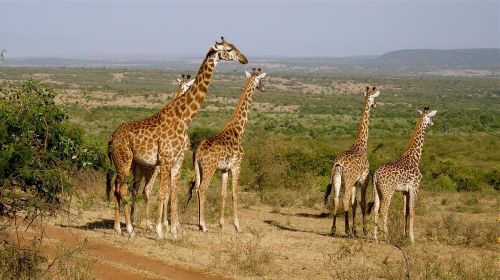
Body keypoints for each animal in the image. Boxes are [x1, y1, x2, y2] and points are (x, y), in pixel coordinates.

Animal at [106, 36, 247, 238]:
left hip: (126, 162)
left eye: (235, 46)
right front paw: (160, 231)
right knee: (123, 189)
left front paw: (173, 231)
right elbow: (163, 194)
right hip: (124, 160)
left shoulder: (178, 161)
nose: (244, 59)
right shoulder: (165, 159)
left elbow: (173, 194)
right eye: (228, 49)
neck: (184, 119)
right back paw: (130, 229)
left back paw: (118, 227)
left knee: (119, 188)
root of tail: (110, 139)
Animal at [187, 67, 266, 232]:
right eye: (262, 80)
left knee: (196, 188)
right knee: (202, 189)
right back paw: (203, 225)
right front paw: (237, 226)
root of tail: (197, 152)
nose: (264, 88)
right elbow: (235, 193)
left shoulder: (224, 169)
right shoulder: (237, 165)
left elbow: (223, 194)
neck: (238, 130)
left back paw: (199, 224)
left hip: (197, 168)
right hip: (209, 168)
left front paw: (222, 224)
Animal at [322, 86, 380, 236]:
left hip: (337, 179)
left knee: (336, 199)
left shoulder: (355, 183)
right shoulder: (364, 180)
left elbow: (354, 203)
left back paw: (334, 229)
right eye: (373, 98)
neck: (361, 145)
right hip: (347, 181)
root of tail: (338, 164)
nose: (375, 105)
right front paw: (363, 230)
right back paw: (346, 230)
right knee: (344, 199)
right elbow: (362, 202)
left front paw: (355, 229)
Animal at [368, 107, 438, 243]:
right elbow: (412, 211)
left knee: (375, 209)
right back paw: (387, 237)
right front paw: (412, 239)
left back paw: (375, 238)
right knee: (384, 210)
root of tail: (376, 175)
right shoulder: (415, 187)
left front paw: (404, 235)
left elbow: (405, 211)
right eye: (431, 117)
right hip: (387, 191)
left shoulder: (405, 191)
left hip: (376, 191)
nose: (432, 123)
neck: (415, 158)